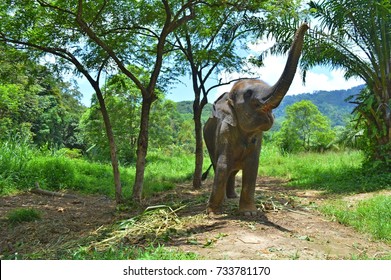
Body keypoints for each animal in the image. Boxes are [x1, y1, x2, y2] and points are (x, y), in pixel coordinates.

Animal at [202, 24, 310, 217]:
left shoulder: (257, 138)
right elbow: (222, 165)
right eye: (248, 94)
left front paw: (249, 213)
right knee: (220, 166)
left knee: (233, 170)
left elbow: (252, 167)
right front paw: (213, 213)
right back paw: (225, 200)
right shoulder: (224, 132)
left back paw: (231, 197)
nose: (306, 24)